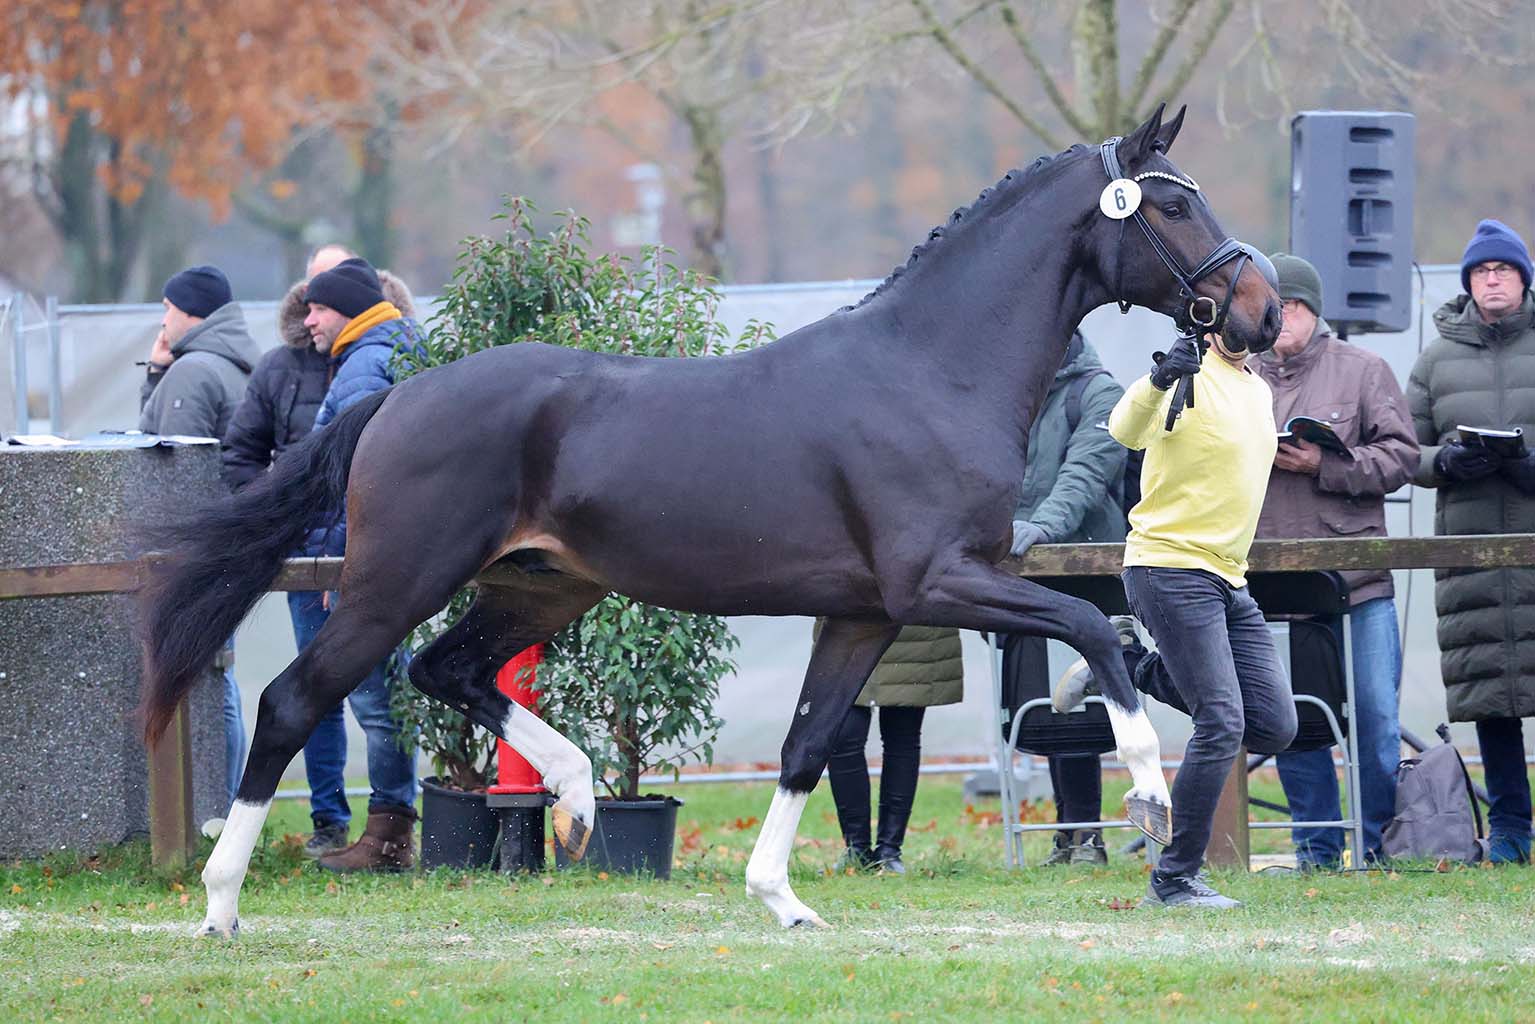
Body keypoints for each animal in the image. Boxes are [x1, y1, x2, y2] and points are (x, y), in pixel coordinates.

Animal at [138, 105, 1277, 939]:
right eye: (1171, 203)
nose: (1259, 312)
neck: (928, 371)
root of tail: (395, 400)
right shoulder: (937, 582)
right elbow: (1092, 628)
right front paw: (1147, 794)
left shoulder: (863, 614)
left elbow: (808, 744)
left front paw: (782, 899)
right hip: (395, 581)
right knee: (294, 700)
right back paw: (221, 904)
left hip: (540, 585)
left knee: (448, 670)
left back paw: (577, 797)